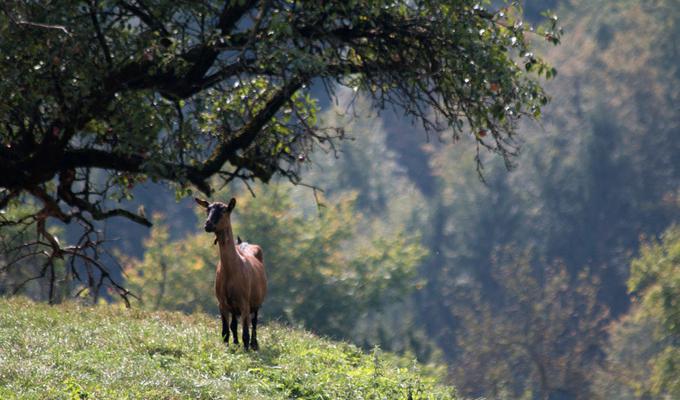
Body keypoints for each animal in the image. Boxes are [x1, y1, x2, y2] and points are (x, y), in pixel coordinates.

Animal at [195, 197, 266, 350]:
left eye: (224, 210)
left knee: (254, 323)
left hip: (256, 301)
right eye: (207, 209)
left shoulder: (244, 301)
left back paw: (254, 344)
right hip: (233, 305)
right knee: (234, 324)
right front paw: (227, 347)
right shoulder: (222, 302)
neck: (232, 272)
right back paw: (236, 342)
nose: (207, 224)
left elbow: (245, 332)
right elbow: (225, 331)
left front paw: (246, 349)